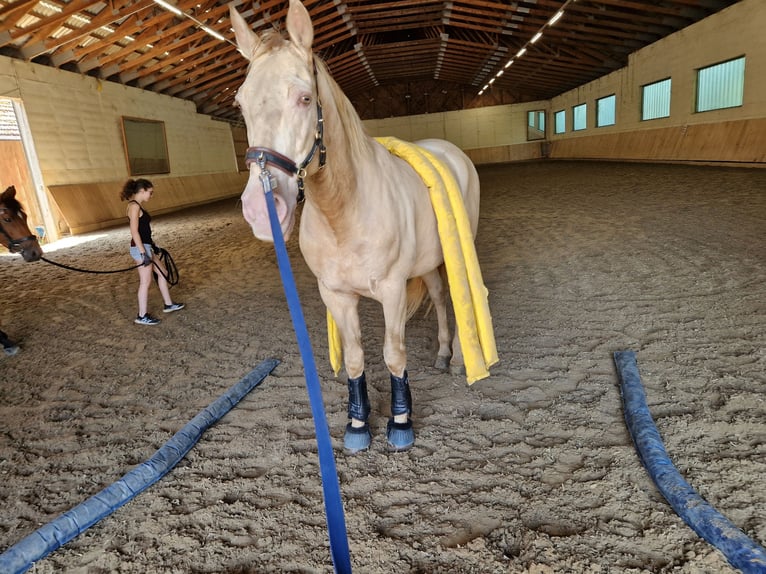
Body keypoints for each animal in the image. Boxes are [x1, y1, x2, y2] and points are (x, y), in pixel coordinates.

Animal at [231, 1, 488, 454]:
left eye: (305, 97)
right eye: (241, 105)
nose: (261, 210)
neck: (345, 214)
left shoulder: (392, 290)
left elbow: (394, 353)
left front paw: (400, 423)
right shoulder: (336, 294)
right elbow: (354, 358)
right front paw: (357, 426)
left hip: (457, 249)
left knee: (459, 300)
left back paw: (458, 360)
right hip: (428, 262)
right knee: (441, 299)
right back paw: (442, 354)